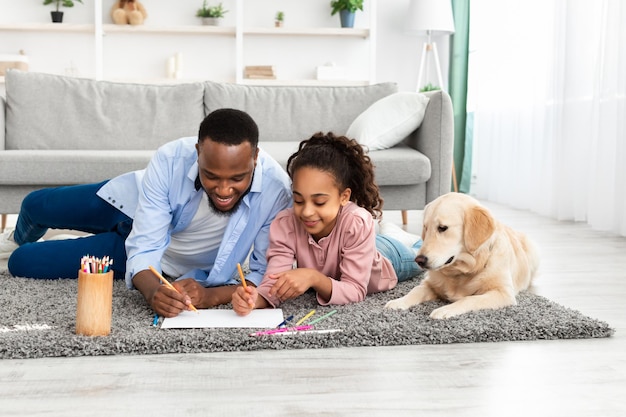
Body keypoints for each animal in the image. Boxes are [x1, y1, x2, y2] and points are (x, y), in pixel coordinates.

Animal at [386, 192, 536, 318]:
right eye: (426, 228)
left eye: (442, 228)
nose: (419, 260)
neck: (462, 270)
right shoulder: (429, 284)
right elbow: (416, 290)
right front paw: (398, 301)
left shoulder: (503, 293)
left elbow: (469, 299)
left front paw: (445, 309)